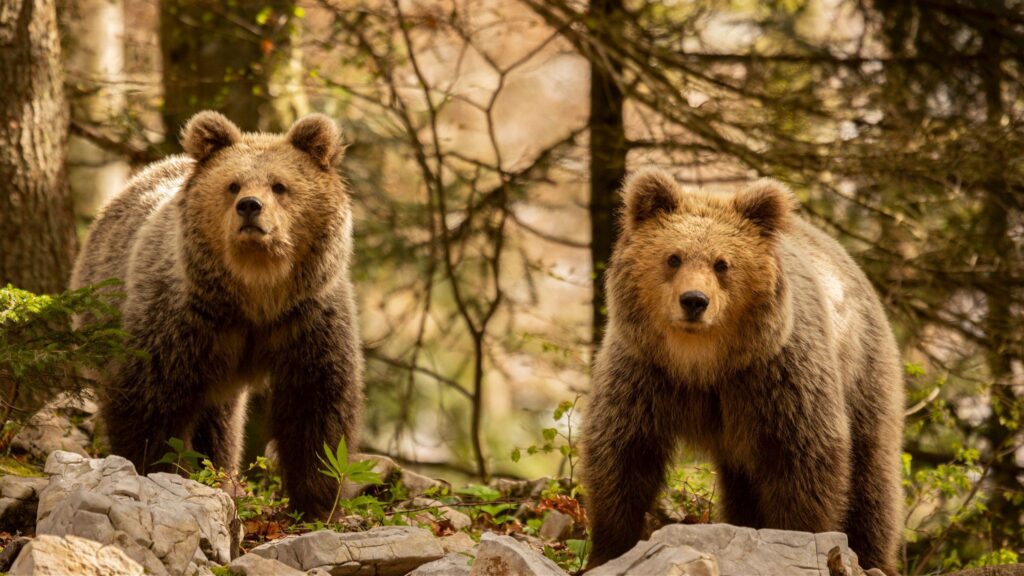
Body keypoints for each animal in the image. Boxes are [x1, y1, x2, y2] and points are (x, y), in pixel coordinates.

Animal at [71, 112, 364, 516]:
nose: (250, 206)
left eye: (280, 185)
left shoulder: (307, 318)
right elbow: (149, 399)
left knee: (220, 423)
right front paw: (153, 470)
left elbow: (316, 406)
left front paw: (317, 502)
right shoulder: (183, 317)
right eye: (233, 184)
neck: (257, 293)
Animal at [585, 168, 905, 569]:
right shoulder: (645, 373)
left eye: (722, 263)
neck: (703, 362)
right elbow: (623, 455)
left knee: (872, 478)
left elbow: (804, 460)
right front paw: (608, 550)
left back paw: (874, 557)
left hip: (863, 372)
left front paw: (799, 538)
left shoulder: (776, 377)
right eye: (673, 258)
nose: (694, 301)